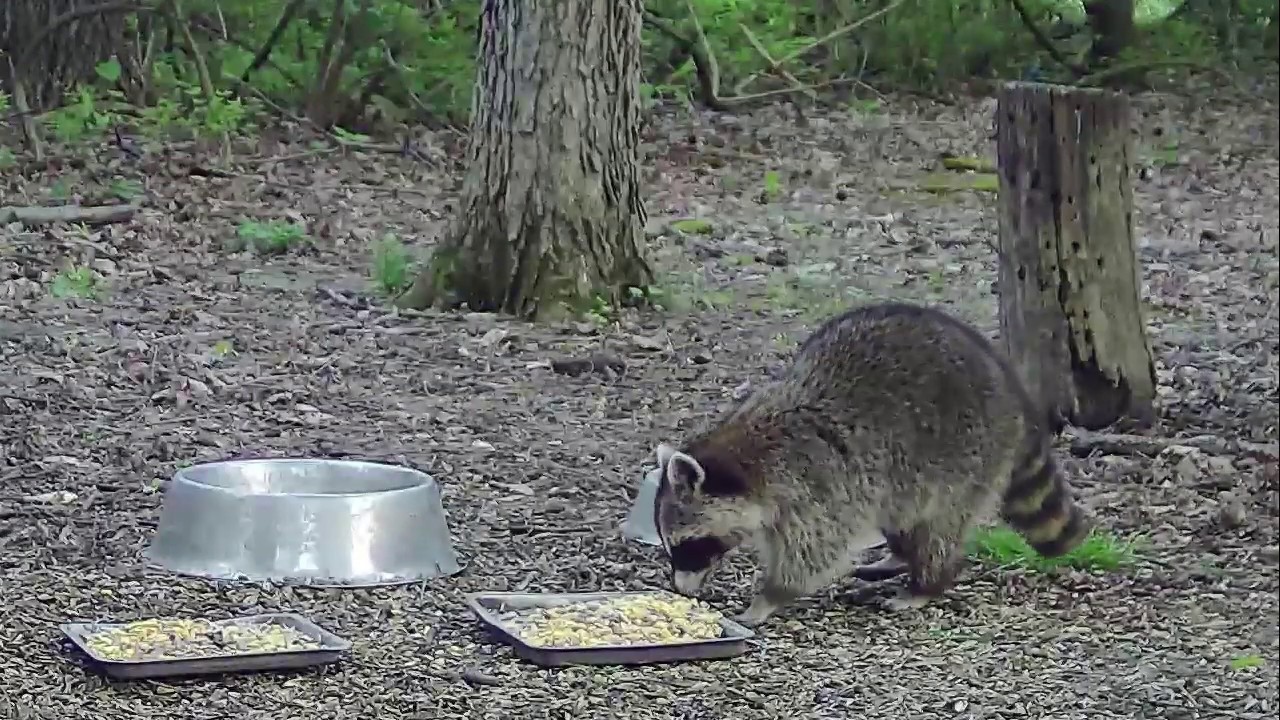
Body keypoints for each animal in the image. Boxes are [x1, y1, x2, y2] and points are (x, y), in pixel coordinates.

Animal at [652, 302, 1092, 628]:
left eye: (686, 544)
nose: (680, 589)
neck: (747, 463)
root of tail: (1011, 390)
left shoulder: (815, 485)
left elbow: (812, 554)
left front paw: (769, 597)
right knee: (901, 515)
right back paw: (897, 556)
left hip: (968, 458)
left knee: (936, 527)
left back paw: (926, 582)